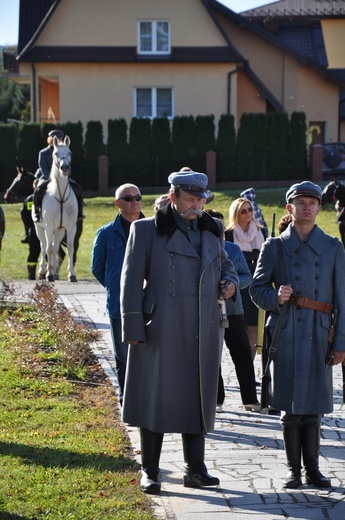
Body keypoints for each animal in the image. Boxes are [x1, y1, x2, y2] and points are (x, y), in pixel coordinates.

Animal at [32, 134, 77, 280]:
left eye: (69, 153)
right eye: (55, 153)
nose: (65, 167)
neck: (60, 195)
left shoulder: (70, 227)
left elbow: (70, 249)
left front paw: (71, 275)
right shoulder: (49, 226)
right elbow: (48, 249)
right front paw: (48, 275)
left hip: (59, 230)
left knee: (55, 246)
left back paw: (54, 272)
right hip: (40, 228)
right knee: (44, 246)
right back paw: (43, 272)